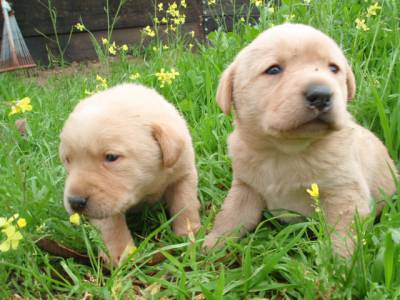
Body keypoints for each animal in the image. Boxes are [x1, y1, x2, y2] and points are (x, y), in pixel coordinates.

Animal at [59, 83, 202, 264]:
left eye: (111, 157)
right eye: (67, 159)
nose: (75, 202)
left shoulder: (183, 174)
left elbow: (185, 205)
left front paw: (188, 235)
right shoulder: (108, 202)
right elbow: (111, 225)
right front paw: (121, 255)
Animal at [205, 22, 398, 255]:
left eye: (333, 68)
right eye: (274, 69)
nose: (321, 94)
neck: (285, 151)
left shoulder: (345, 192)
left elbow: (343, 235)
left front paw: (337, 262)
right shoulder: (246, 187)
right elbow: (231, 215)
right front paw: (212, 243)